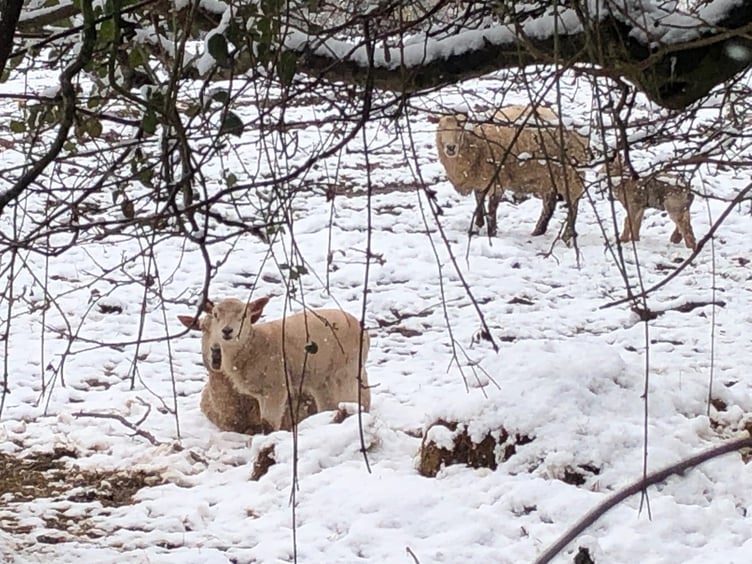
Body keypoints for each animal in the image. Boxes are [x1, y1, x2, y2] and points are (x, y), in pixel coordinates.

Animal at [180, 296, 370, 432]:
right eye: (215, 316)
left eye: (244, 316)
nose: (227, 331)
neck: (254, 345)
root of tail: (360, 326)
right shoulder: (261, 394)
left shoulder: (276, 388)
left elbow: (268, 426)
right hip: (322, 380)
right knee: (327, 407)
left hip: (347, 371)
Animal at [434, 106, 588, 242]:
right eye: (441, 127)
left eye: (461, 126)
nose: (451, 148)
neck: (477, 142)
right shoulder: (480, 179)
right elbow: (479, 201)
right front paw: (477, 226)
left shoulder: (498, 179)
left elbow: (492, 207)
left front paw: (492, 232)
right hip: (548, 177)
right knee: (549, 204)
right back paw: (538, 231)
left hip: (569, 174)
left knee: (573, 205)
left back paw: (567, 235)